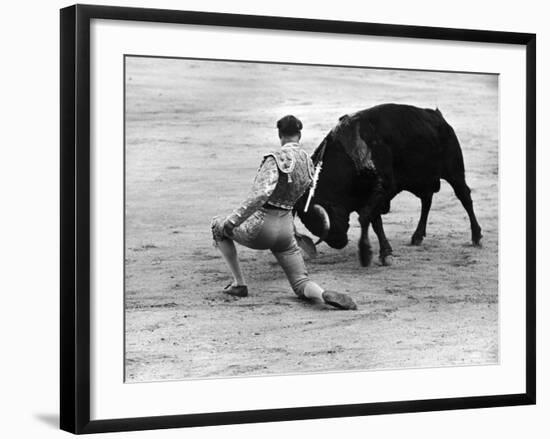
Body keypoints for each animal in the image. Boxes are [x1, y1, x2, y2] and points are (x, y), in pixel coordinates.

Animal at [298, 104, 484, 268]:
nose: (338, 243)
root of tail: (438, 117)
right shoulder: (366, 197)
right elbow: (375, 222)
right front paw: (385, 253)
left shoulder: (383, 188)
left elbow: (365, 218)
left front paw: (366, 254)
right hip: (421, 180)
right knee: (427, 201)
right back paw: (417, 236)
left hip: (455, 172)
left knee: (464, 197)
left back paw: (477, 236)